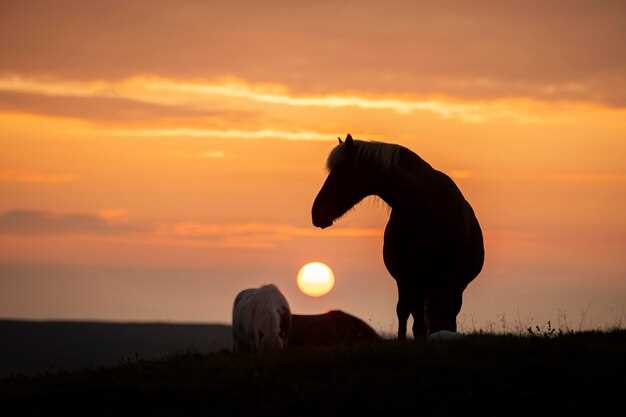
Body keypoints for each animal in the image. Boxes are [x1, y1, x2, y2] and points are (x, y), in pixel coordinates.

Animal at [312, 135, 482, 340]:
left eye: (342, 172)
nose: (316, 213)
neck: (425, 207)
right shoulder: (406, 278)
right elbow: (410, 318)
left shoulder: (451, 283)